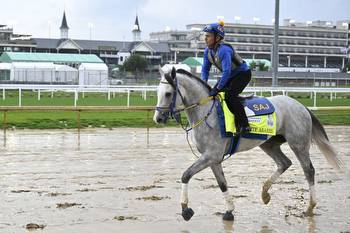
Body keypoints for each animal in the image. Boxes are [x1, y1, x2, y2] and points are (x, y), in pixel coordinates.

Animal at [154, 67, 344, 220]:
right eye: (158, 92)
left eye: (168, 94)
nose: (158, 118)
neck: (207, 113)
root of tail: (301, 106)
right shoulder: (213, 159)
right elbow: (222, 183)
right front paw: (229, 211)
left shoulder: (210, 156)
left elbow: (186, 175)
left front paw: (185, 209)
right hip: (269, 144)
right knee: (284, 163)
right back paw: (265, 194)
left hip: (298, 144)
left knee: (308, 170)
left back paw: (310, 207)